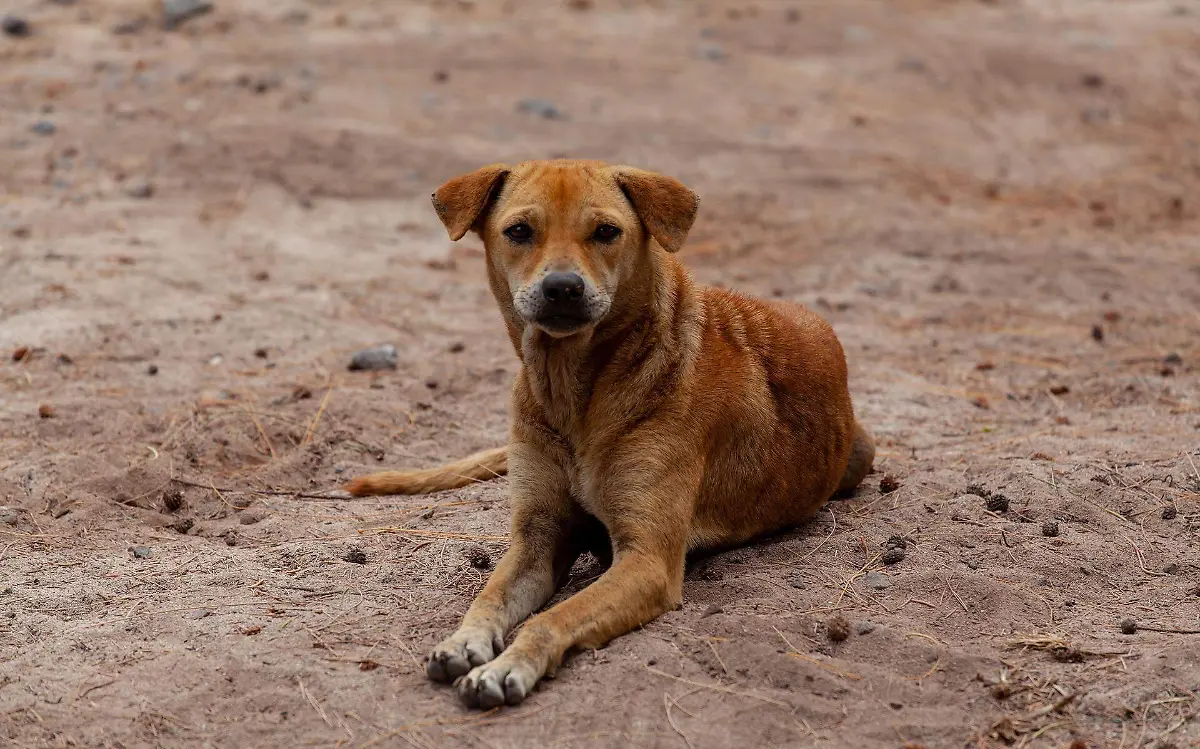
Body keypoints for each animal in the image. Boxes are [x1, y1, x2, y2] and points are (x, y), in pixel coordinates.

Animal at [345, 158, 873, 705]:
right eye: (519, 231)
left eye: (605, 232)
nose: (563, 287)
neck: (574, 393)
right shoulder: (537, 538)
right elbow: (487, 596)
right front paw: (463, 641)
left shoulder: (647, 561)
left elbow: (552, 618)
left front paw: (507, 666)